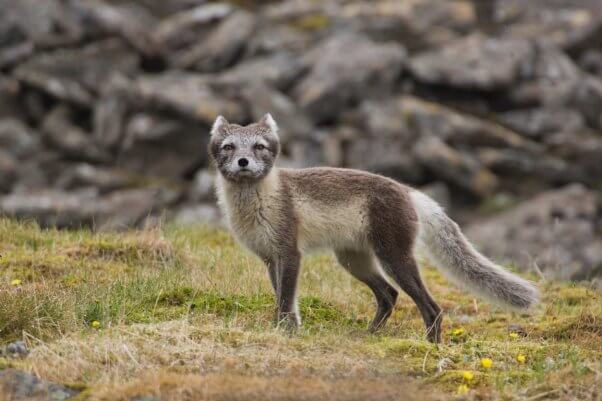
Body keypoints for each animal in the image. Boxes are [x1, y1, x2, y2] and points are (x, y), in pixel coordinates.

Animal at [209, 111, 536, 340]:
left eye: (259, 147)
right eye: (228, 147)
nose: (242, 162)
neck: (258, 201)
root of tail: (408, 191)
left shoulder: (290, 253)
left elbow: (286, 299)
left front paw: (285, 332)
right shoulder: (269, 258)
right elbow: (281, 297)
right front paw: (285, 328)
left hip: (393, 257)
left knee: (431, 307)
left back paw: (430, 346)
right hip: (354, 260)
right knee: (389, 296)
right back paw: (369, 335)